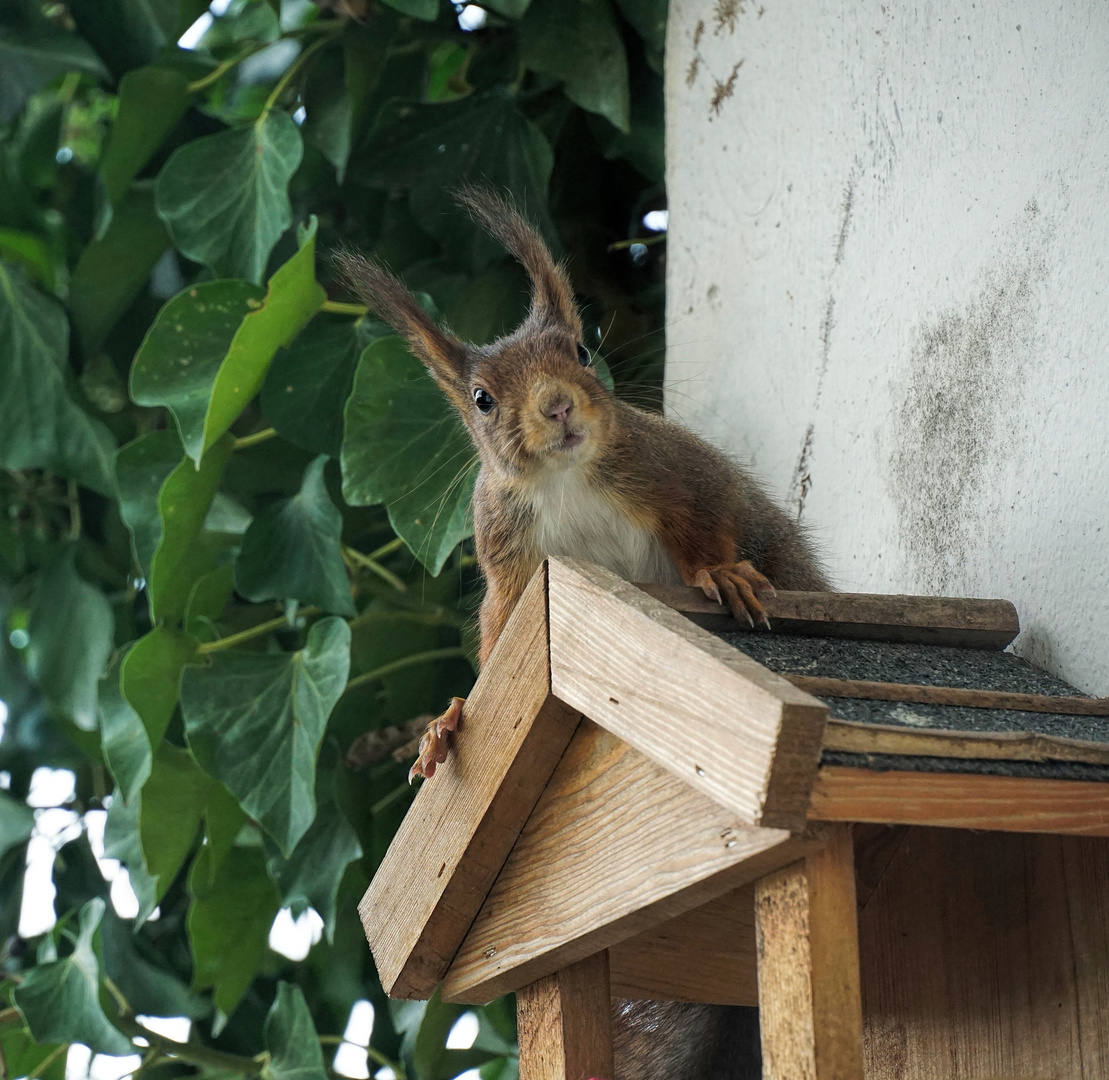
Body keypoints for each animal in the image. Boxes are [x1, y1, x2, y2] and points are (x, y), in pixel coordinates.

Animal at [337, 190, 833, 780]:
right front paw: (449, 718)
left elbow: (709, 522)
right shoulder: (509, 557)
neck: (563, 480)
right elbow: (501, 630)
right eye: (482, 398)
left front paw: (720, 573)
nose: (558, 405)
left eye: (582, 352)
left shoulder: (680, 470)